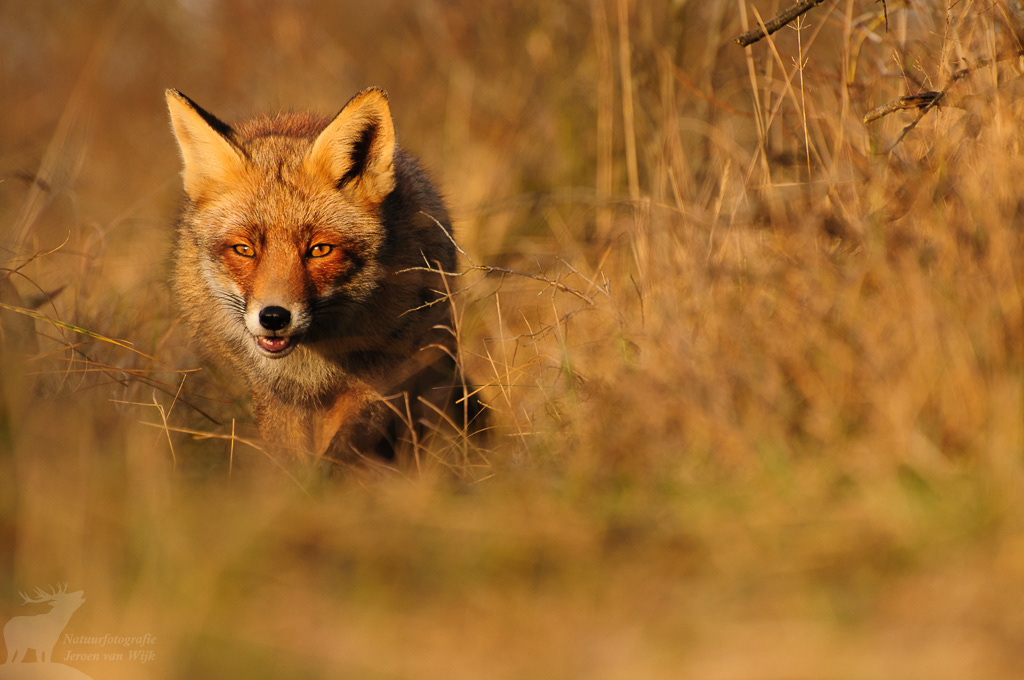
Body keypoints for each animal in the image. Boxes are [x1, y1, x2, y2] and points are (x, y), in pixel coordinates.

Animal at [165, 87, 480, 468]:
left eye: (319, 250)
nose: (274, 318)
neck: (311, 366)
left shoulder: (376, 380)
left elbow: (338, 455)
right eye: (244, 249)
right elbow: (291, 459)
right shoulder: (276, 393)